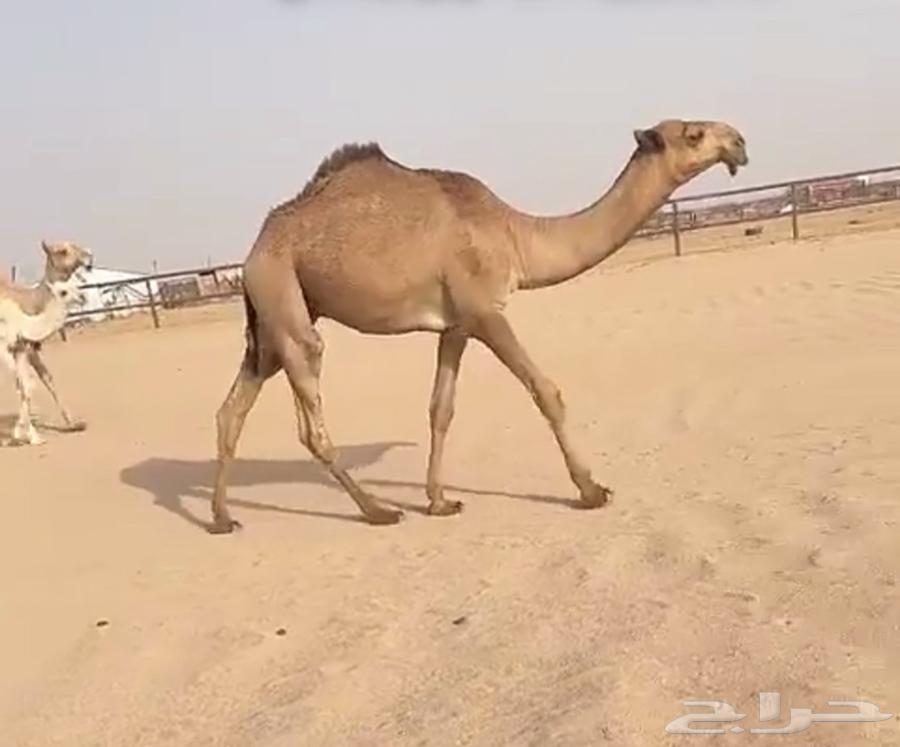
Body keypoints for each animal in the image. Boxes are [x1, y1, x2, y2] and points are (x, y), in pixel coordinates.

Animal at [0, 241, 93, 445]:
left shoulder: (22, 348)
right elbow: (26, 384)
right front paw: (27, 436)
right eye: (63, 251)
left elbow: (33, 383)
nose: (89, 256)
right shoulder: (5, 348)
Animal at [210, 118, 748, 532]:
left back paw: (221, 517)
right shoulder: (487, 310)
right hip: (284, 298)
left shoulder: (456, 326)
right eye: (695, 134)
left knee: (232, 409)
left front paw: (439, 501)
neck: (516, 236)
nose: (739, 142)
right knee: (310, 414)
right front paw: (591, 489)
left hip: (269, 325)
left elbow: (440, 409)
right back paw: (377, 511)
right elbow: (545, 390)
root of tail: (251, 254)